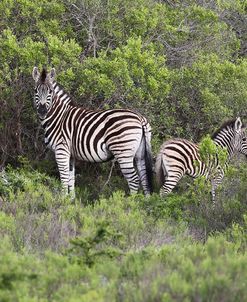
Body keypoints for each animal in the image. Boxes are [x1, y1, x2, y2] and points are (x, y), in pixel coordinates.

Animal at [32, 66, 153, 196]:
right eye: (35, 91)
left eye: (50, 91)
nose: (42, 111)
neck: (59, 117)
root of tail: (139, 117)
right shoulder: (70, 154)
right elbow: (71, 178)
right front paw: (71, 199)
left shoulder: (61, 150)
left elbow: (64, 178)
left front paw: (62, 198)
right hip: (140, 153)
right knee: (144, 179)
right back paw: (145, 200)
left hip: (123, 152)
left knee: (134, 180)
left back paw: (130, 201)